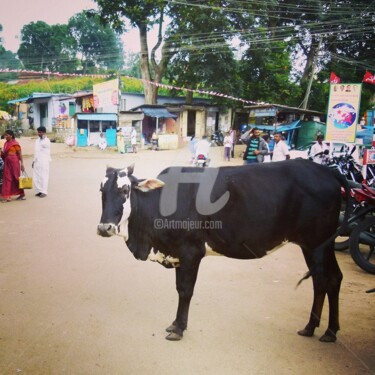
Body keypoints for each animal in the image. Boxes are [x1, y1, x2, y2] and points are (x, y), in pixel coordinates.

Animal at [98, 160, 352, 342]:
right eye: (102, 190)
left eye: (125, 190)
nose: (104, 228)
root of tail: (326, 171)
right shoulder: (178, 254)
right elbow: (180, 289)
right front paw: (176, 324)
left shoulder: (191, 252)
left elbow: (185, 291)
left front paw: (178, 328)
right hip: (317, 246)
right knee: (330, 279)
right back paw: (321, 329)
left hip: (317, 244)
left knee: (325, 280)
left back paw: (322, 330)